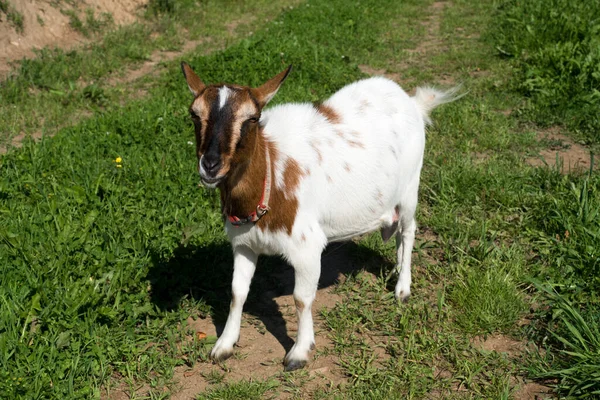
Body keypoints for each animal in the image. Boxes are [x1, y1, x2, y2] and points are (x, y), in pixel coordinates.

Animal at [180, 62, 458, 372]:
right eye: (194, 114)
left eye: (252, 118)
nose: (210, 165)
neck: (271, 173)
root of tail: (412, 102)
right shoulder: (244, 244)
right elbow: (237, 292)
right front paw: (224, 345)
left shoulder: (307, 247)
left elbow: (301, 299)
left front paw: (299, 352)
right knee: (398, 233)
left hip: (410, 187)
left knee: (408, 232)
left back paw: (402, 288)